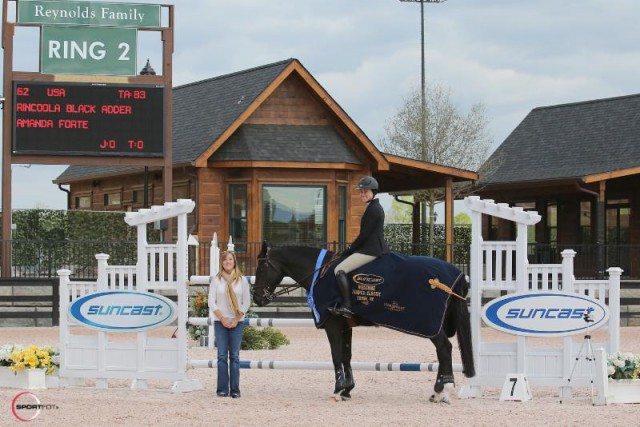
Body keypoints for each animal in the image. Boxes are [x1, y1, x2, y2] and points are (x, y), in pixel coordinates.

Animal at [252, 242, 472, 402]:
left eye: (261, 267)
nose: (257, 298)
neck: (321, 274)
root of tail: (454, 274)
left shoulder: (332, 324)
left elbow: (335, 355)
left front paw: (337, 389)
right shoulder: (345, 326)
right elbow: (346, 356)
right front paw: (347, 390)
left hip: (430, 325)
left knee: (444, 348)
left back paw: (442, 389)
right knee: (443, 350)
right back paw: (439, 390)